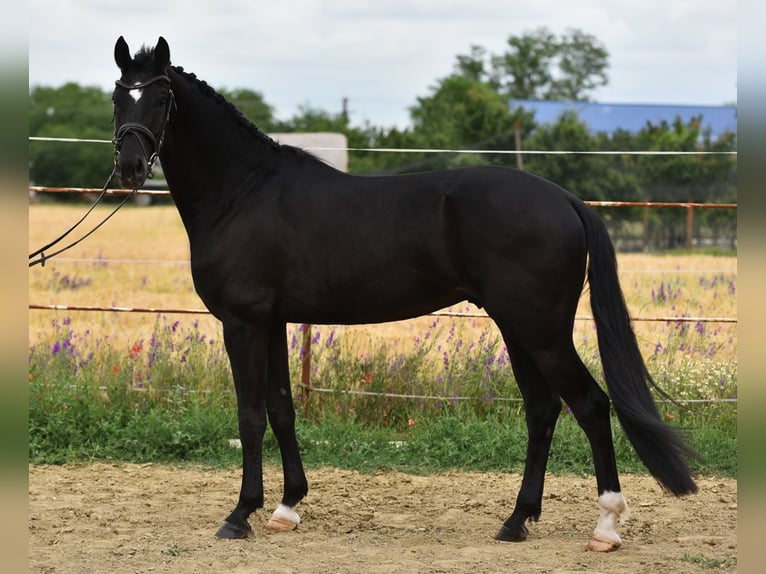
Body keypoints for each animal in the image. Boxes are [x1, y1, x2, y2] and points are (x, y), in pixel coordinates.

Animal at [111, 36, 697, 551]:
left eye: (161, 98)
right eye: (119, 95)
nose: (130, 167)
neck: (244, 191)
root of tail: (566, 200)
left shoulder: (243, 323)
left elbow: (250, 415)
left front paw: (240, 515)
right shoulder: (273, 322)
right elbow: (281, 409)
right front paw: (286, 507)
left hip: (541, 331)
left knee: (591, 406)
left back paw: (606, 527)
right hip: (518, 328)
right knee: (543, 410)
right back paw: (516, 520)